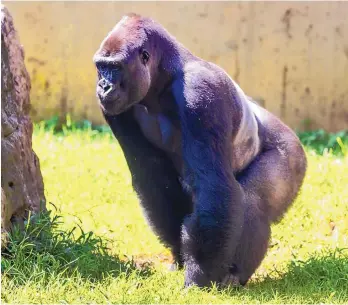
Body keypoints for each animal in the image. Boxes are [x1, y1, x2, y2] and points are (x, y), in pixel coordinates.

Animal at [93, 12, 308, 288]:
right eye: (100, 66)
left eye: (116, 67)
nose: (103, 86)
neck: (163, 79)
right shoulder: (115, 110)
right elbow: (154, 179)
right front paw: (180, 258)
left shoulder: (201, 92)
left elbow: (213, 185)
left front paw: (200, 275)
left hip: (292, 152)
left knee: (254, 199)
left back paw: (234, 274)